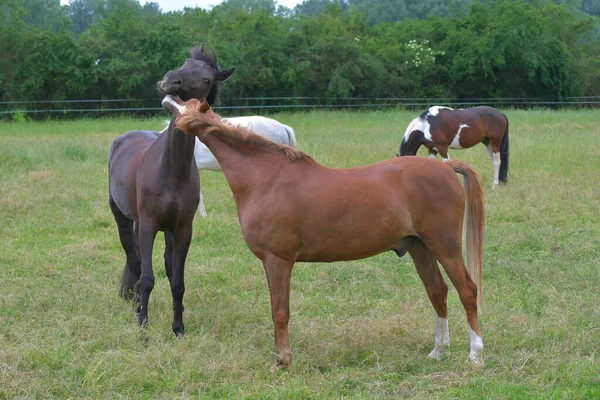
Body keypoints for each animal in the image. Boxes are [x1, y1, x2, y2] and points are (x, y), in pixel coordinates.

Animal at [109, 45, 236, 336]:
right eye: (185, 62)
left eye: (206, 79)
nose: (169, 80)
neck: (171, 169)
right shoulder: (148, 225)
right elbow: (147, 277)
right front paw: (143, 326)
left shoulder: (182, 229)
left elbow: (177, 279)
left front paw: (178, 327)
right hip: (122, 217)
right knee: (134, 260)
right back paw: (135, 304)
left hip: (164, 228)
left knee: (163, 264)